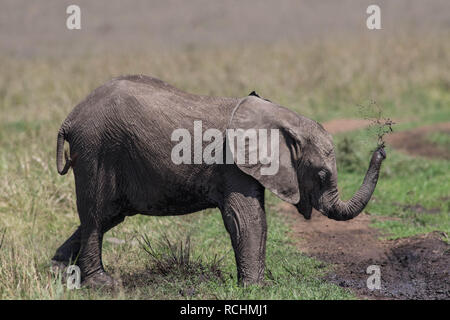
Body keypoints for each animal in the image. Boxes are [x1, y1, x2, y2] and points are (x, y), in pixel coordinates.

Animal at [51, 75, 384, 288]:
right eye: (322, 175)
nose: (381, 148)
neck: (280, 116)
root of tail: (69, 119)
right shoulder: (232, 164)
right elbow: (246, 218)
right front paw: (256, 289)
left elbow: (253, 219)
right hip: (95, 150)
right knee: (96, 215)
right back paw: (101, 284)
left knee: (109, 215)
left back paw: (58, 272)